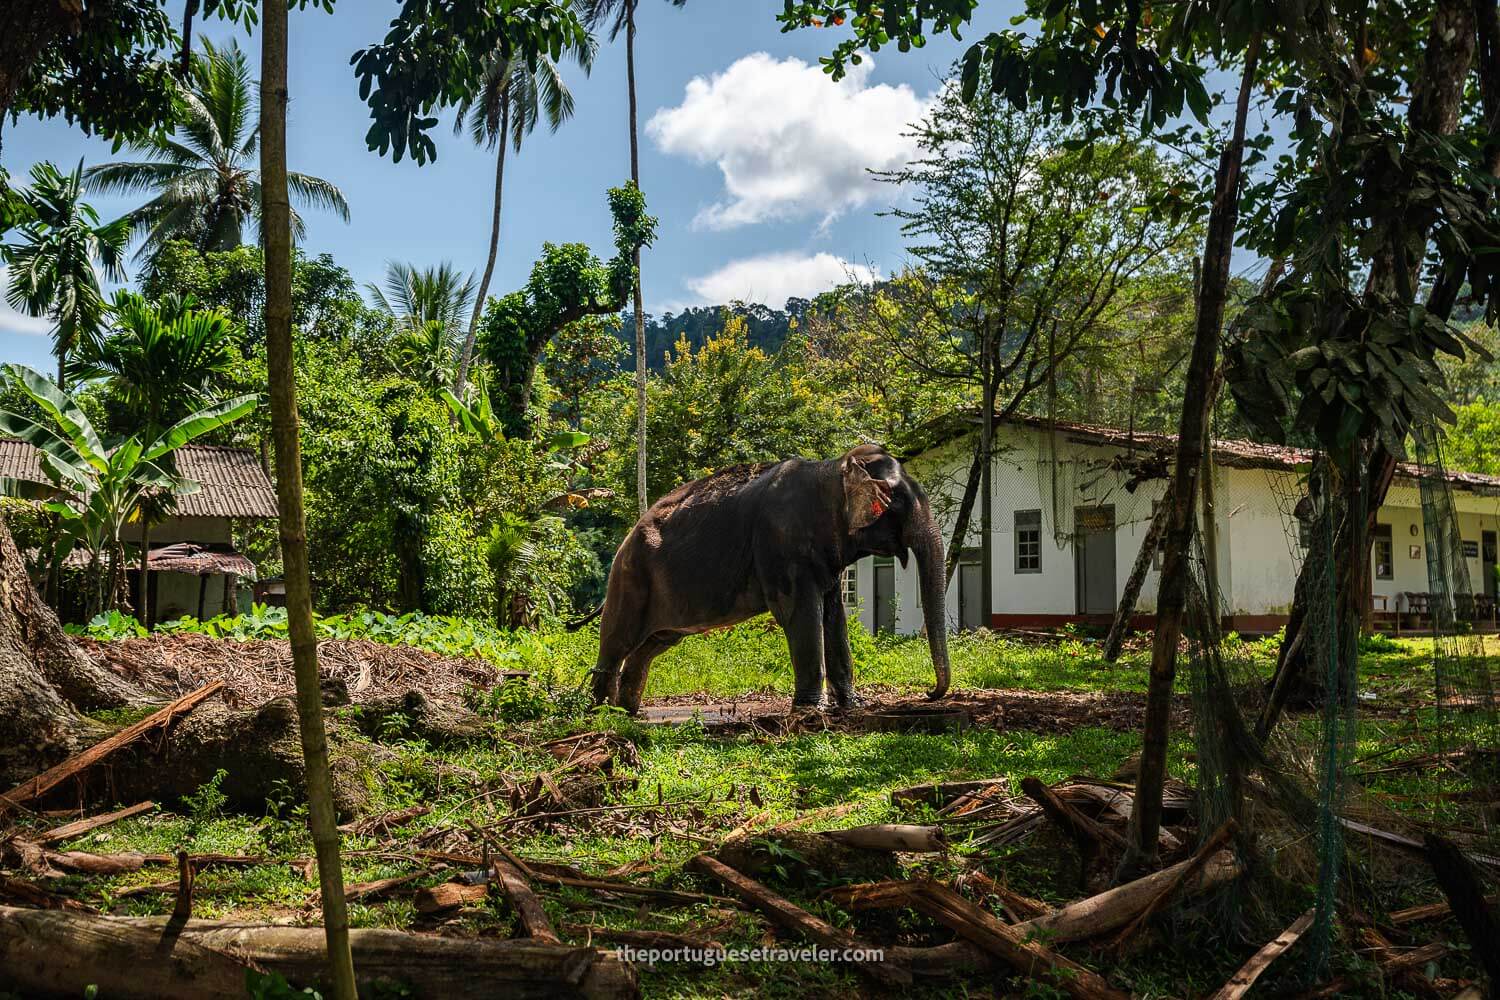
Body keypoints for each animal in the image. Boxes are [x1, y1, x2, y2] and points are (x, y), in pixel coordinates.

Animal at [585, 440, 948, 716]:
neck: (832, 469)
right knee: (617, 642)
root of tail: (625, 539)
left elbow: (834, 617)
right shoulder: (781, 544)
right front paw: (810, 711)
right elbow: (798, 613)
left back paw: (627, 712)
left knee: (653, 644)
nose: (929, 693)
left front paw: (852, 707)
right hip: (630, 578)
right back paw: (599, 713)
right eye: (895, 502)